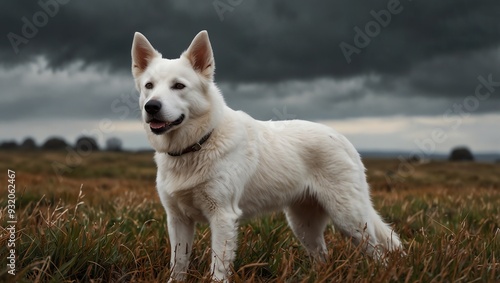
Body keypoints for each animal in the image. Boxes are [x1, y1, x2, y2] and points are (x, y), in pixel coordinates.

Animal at [132, 30, 402, 282]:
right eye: (149, 86)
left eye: (179, 86)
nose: (151, 107)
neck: (197, 144)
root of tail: (343, 139)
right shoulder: (178, 219)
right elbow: (178, 265)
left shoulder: (222, 216)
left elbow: (218, 266)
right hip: (304, 224)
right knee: (322, 257)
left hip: (350, 220)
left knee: (379, 252)